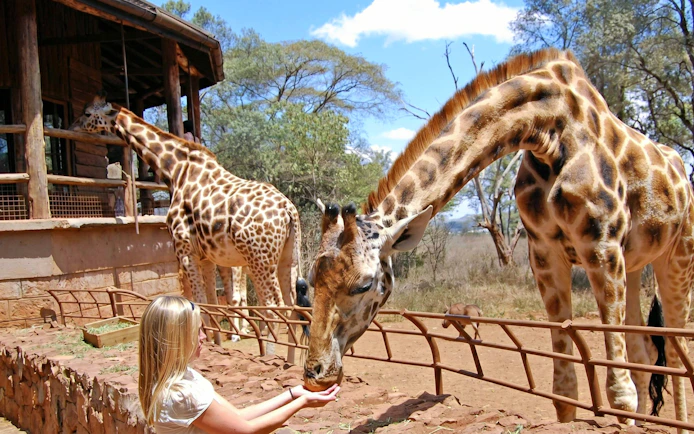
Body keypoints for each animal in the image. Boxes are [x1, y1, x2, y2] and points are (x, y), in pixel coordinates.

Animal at [70, 94, 305, 357]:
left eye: (88, 113)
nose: (73, 125)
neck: (175, 170)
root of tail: (289, 210)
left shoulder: (184, 250)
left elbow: (198, 303)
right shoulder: (207, 257)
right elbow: (211, 303)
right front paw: (216, 342)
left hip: (259, 259)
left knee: (275, 307)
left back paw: (270, 355)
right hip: (286, 258)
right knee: (293, 307)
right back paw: (288, 360)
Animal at [302, 48, 694, 431]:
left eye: (364, 284)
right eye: (310, 281)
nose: (314, 374)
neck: (549, 130)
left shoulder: (601, 246)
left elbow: (619, 392)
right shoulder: (544, 253)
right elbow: (564, 388)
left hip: (677, 257)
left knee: (675, 353)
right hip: (636, 264)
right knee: (644, 348)